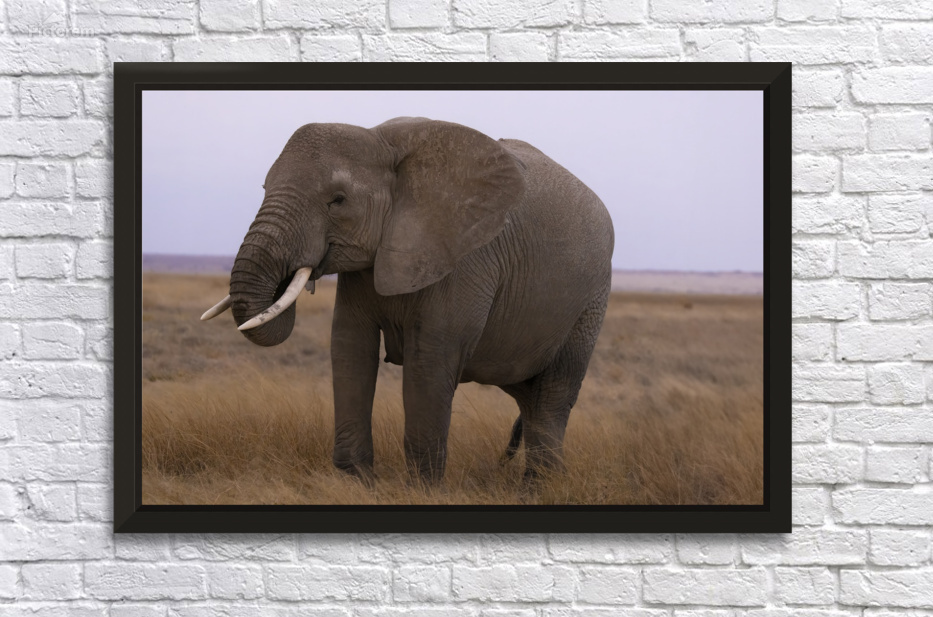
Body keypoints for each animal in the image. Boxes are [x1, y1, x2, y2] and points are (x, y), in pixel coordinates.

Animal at [202, 117, 614, 485]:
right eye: (263, 187)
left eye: (338, 200)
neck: (383, 140)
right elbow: (350, 346)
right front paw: (356, 481)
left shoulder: (464, 255)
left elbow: (429, 359)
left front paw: (422, 487)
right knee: (528, 395)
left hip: (591, 301)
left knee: (552, 396)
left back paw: (541, 487)